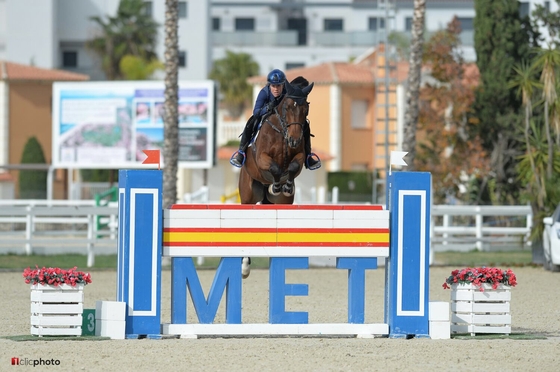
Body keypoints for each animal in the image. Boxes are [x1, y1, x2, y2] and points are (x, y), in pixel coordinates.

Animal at [237, 80, 312, 278]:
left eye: (305, 109)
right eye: (287, 107)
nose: (294, 140)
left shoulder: (300, 156)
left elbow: (292, 167)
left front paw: (286, 186)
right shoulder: (262, 158)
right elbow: (275, 168)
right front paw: (276, 185)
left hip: (281, 203)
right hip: (248, 197)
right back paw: (244, 266)